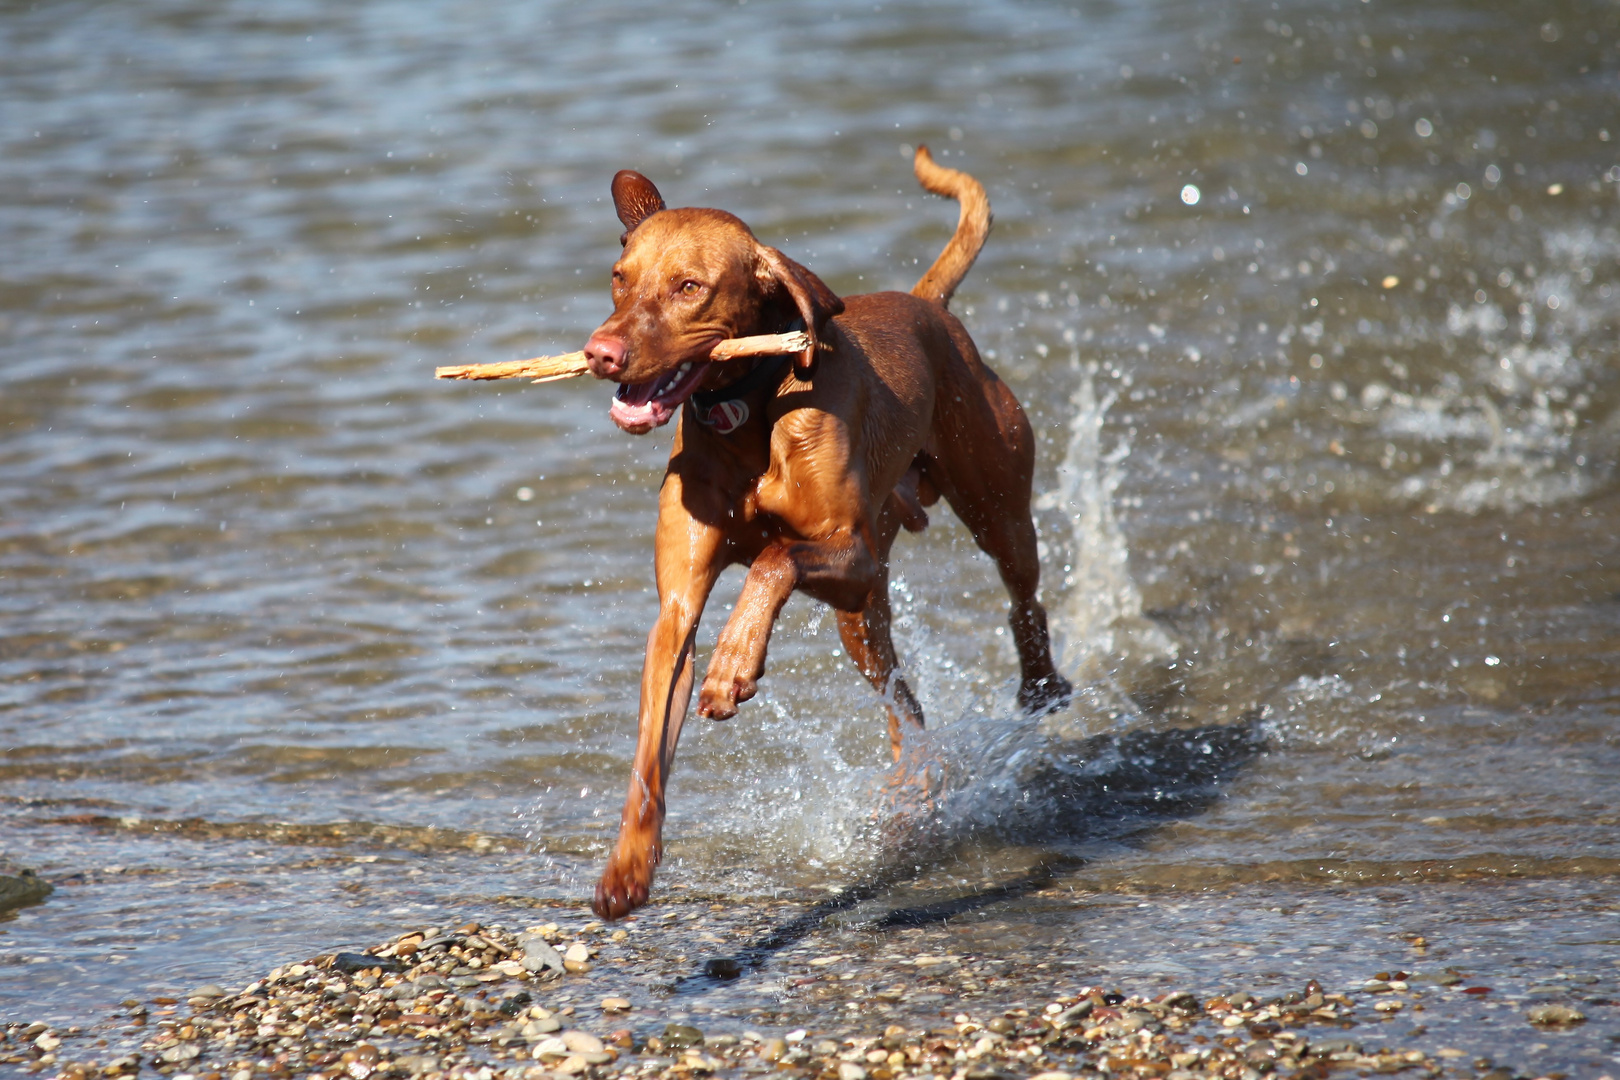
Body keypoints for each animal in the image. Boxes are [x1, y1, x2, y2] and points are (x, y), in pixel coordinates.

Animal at [576, 145, 1069, 919]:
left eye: (689, 287)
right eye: (620, 278)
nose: (602, 352)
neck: (748, 411)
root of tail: (926, 304)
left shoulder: (853, 554)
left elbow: (773, 559)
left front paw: (734, 664)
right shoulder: (678, 611)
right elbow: (650, 754)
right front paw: (628, 867)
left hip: (995, 509)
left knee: (1024, 595)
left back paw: (1041, 683)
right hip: (860, 618)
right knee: (905, 705)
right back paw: (913, 787)